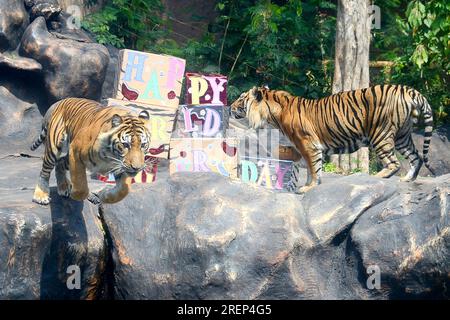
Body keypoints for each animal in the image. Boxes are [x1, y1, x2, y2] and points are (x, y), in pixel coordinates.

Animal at [230, 85, 434, 194]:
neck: (273, 115)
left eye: (241, 99)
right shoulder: (301, 147)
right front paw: (307, 185)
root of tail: (408, 90)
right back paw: (407, 180)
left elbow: (313, 168)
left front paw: (308, 187)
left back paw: (376, 178)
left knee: (393, 163)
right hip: (402, 136)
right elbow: (309, 167)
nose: (230, 107)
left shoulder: (308, 145)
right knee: (415, 157)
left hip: (381, 134)